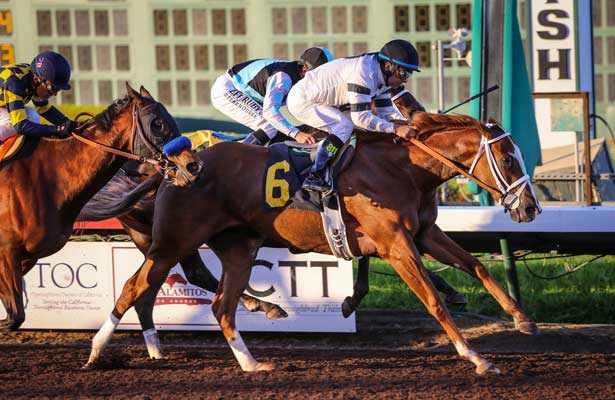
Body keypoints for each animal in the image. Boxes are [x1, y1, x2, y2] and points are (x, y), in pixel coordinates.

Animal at [0, 83, 183, 330]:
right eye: (157, 123)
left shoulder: (29, 255)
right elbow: (13, 317)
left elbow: (14, 316)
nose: (192, 163)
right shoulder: (7, 251)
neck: (48, 175)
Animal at [85, 101, 540, 374]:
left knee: (220, 306)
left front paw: (523, 319)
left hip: (238, 248)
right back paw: (95, 351)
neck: (403, 169)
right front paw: (476, 357)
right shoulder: (395, 244)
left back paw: (251, 363)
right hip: (170, 244)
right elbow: (433, 300)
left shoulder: (425, 233)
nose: (531, 208)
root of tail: (174, 167)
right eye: (507, 158)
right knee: (134, 287)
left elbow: (477, 266)